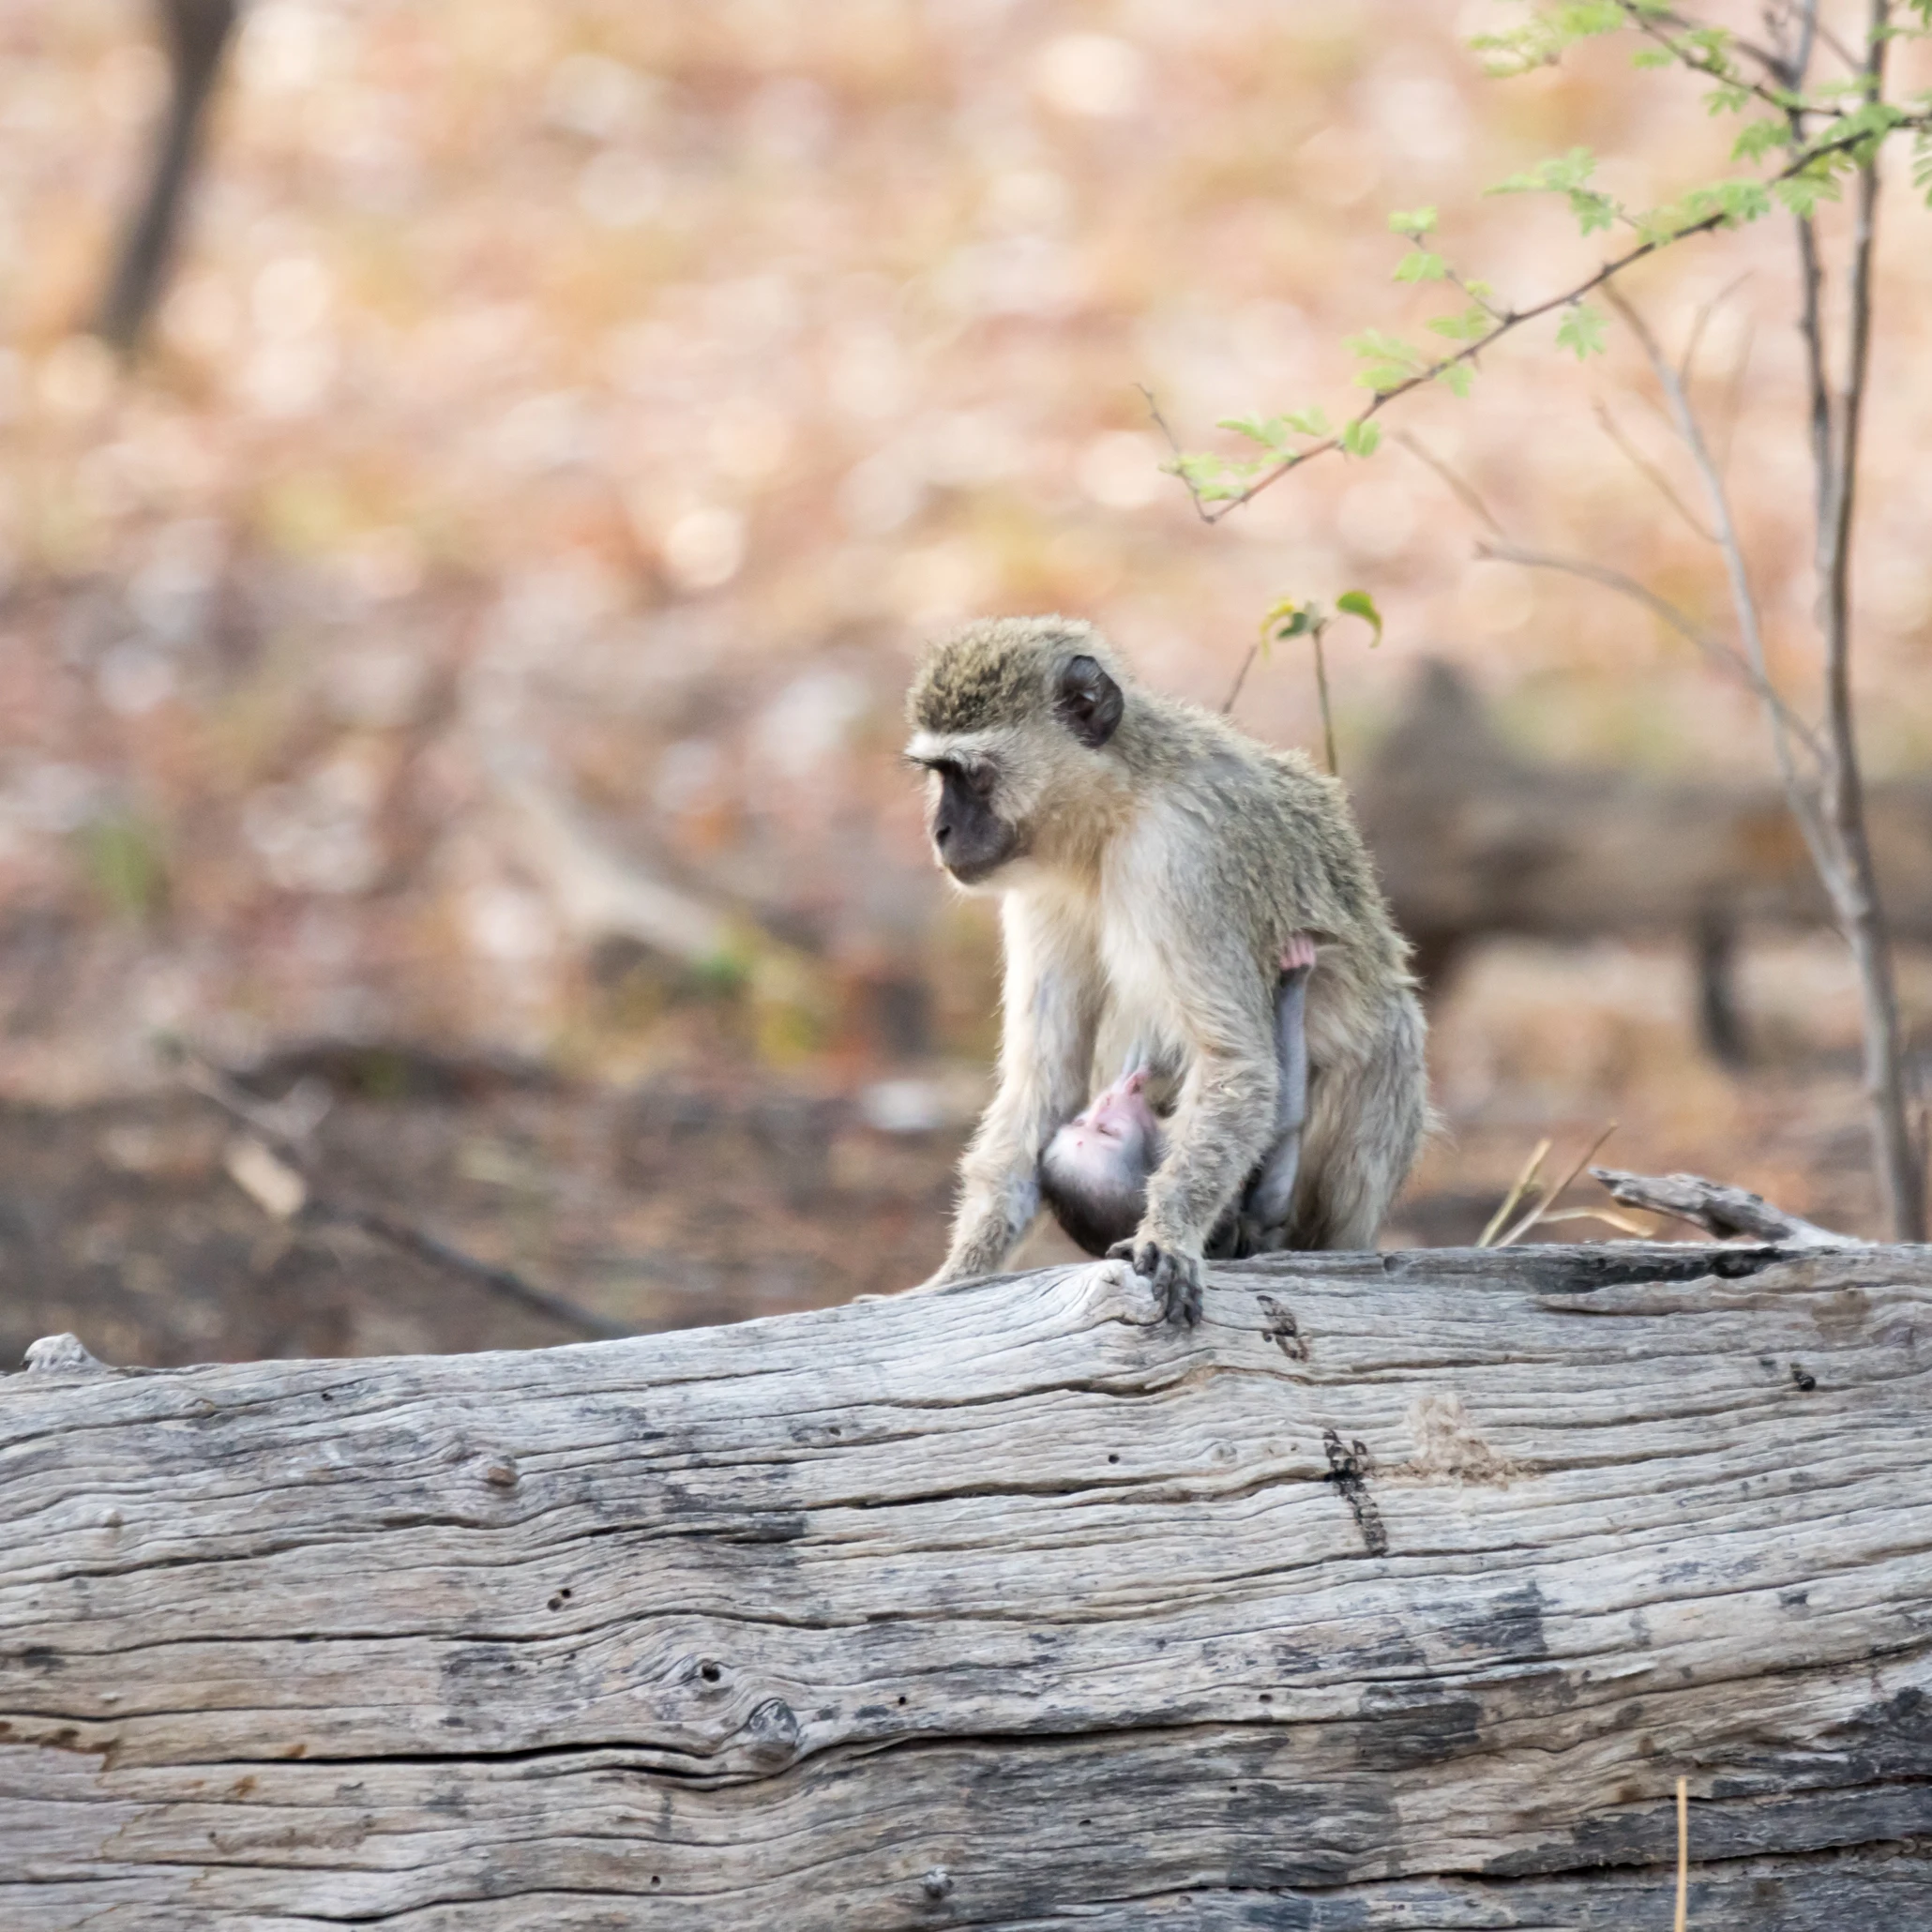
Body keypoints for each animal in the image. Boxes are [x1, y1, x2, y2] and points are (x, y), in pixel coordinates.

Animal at [1040, 935, 1316, 1259]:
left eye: (1085, 1124)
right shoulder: (1165, 1149)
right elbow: (1274, 1121)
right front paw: (1294, 975)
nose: (1107, 1102)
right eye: (1106, 1132)